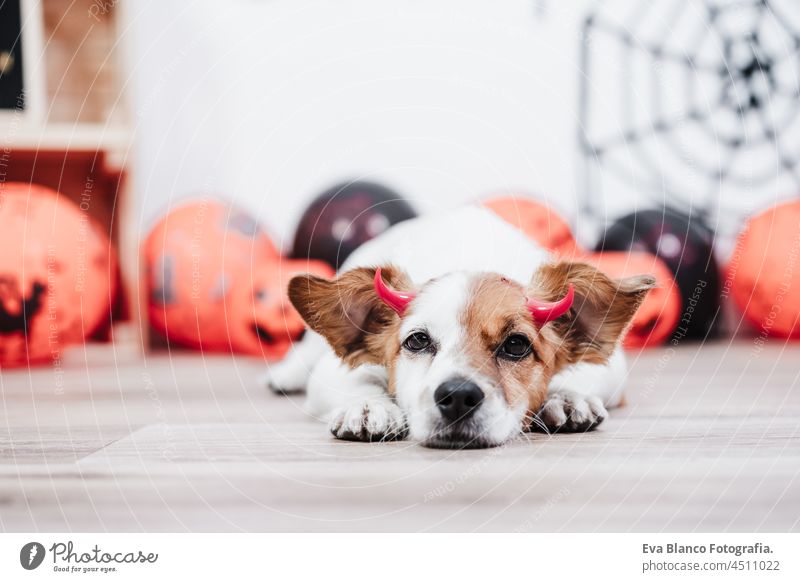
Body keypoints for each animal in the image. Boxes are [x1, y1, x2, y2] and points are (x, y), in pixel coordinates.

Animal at [266, 208, 652, 450]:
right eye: (417, 341)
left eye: (516, 345)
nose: (457, 397)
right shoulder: (332, 371)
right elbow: (357, 381)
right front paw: (367, 407)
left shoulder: (610, 367)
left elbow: (577, 374)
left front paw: (567, 398)